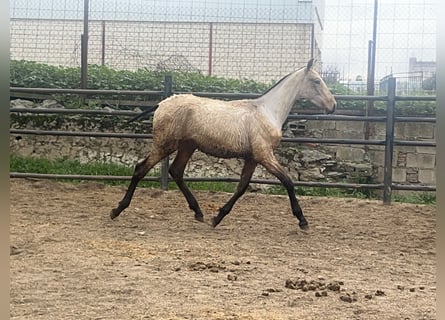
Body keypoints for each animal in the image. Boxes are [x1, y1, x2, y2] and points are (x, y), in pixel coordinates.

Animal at [109, 58, 334, 230]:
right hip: (165, 145)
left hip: (187, 146)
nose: (332, 105)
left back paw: (198, 212)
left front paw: (217, 217)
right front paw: (303, 221)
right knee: (141, 169)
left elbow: (242, 187)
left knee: (176, 171)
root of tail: (162, 103)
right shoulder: (264, 155)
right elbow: (288, 181)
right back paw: (116, 210)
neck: (267, 111)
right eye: (316, 81)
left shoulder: (252, 158)